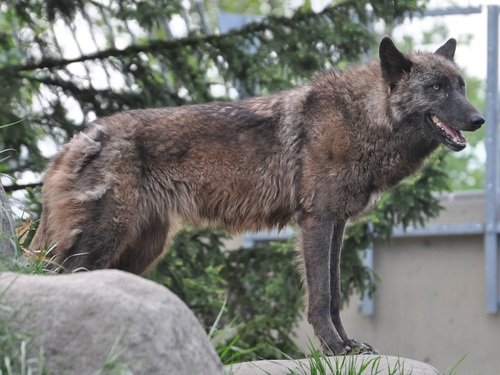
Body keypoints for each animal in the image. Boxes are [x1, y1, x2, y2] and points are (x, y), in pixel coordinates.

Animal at [31, 38, 484, 356]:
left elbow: (335, 293)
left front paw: (346, 345)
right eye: (437, 88)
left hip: (141, 251)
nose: (479, 119)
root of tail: (72, 143)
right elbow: (321, 296)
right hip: (100, 245)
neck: (361, 118)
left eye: (461, 86)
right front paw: (335, 348)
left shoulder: (336, 223)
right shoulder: (317, 221)